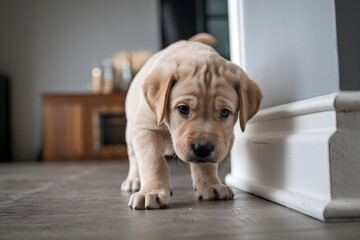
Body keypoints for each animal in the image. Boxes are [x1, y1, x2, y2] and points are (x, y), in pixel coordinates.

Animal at [121, 32, 262, 209]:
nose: (202, 148)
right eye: (183, 109)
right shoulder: (145, 129)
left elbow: (206, 165)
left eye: (224, 112)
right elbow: (153, 160)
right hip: (130, 132)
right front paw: (152, 192)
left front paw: (211, 185)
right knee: (134, 158)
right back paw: (133, 180)